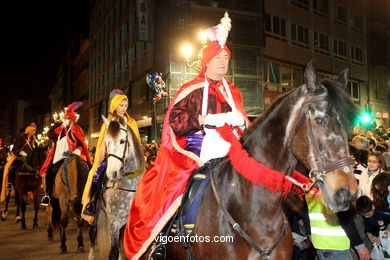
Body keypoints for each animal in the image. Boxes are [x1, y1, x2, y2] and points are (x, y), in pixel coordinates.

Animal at [88, 116, 146, 260]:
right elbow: (113, 252)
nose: (112, 173)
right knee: (92, 233)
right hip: (95, 213)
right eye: (107, 142)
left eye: (122, 141)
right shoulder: (114, 222)